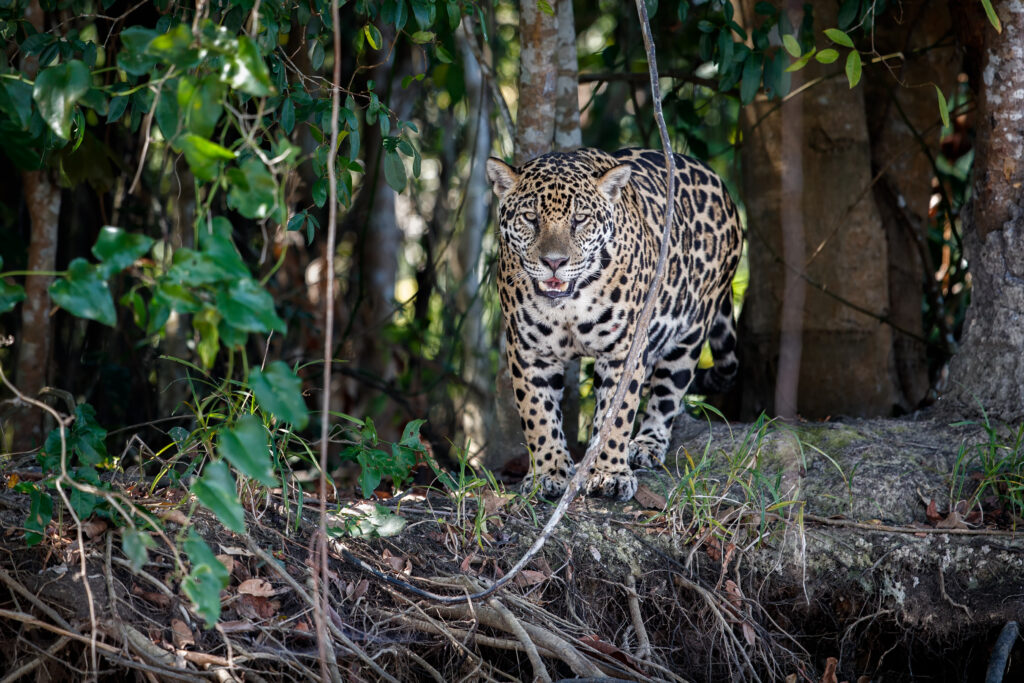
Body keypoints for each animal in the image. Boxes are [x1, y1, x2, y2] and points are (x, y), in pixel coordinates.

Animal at [486, 148, 743, 501]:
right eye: (530, 217)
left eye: (580, 219)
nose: (554, 262)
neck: (570, 303)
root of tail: (719, 184)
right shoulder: (528, 351)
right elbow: (538, 414)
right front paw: (549, 473)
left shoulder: (625, 349)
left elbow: (617, 413)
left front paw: (611, 474)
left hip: (690, 331)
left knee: (668, 391)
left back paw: (645, 445)